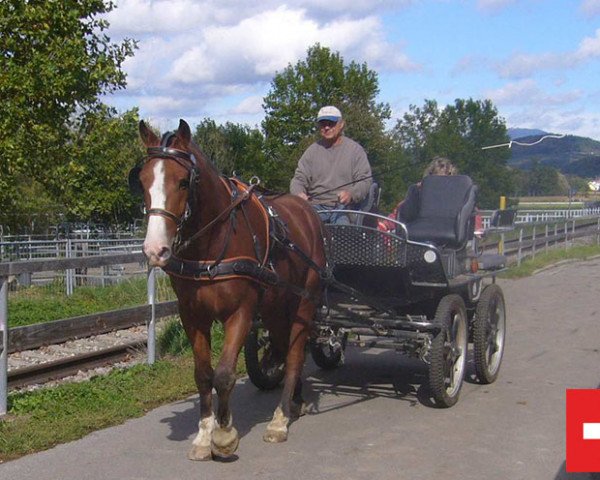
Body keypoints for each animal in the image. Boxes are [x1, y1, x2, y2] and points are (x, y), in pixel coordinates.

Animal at [132, 119, 328, 462]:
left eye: (182, 182)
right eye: (142, 181)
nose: (155, 250)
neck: (212, 247)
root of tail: (308, 212)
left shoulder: (241, 313)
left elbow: (223, 374)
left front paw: (223, 435)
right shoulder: (192, 316)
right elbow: (203, 374)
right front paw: (203, 435)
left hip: (304, 301)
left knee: (294, 355)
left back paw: (279, 419)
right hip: (276, 305)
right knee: (284, 346)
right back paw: (296, 400)